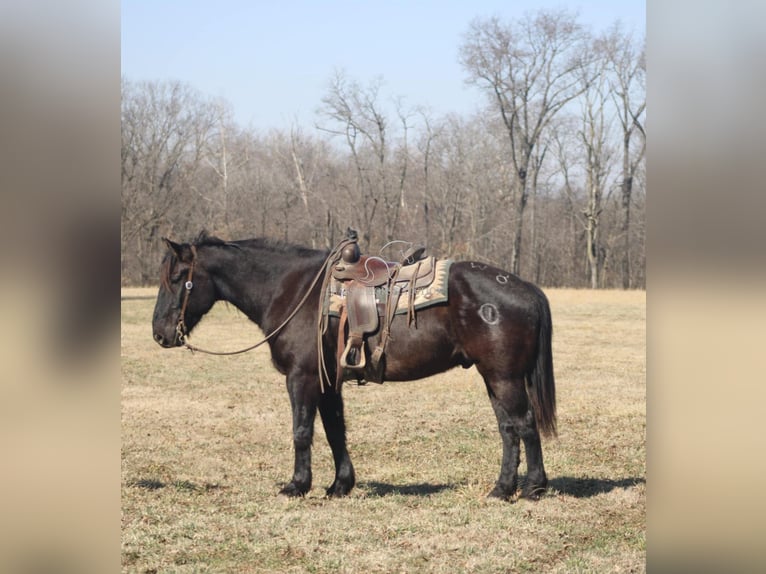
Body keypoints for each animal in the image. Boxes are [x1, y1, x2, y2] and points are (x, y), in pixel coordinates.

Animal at [152, 232, 560, 502]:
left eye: (178, 278)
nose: (159, 334)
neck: (292, 291)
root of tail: (526, 288)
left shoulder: (302, 379)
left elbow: (302, 431)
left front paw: (297, 485)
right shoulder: (329, 382)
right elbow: (336, 432)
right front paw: (339, 485)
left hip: (504, 378)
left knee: (524, 425)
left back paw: (533, 488)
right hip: (493, 378)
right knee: (508, 429)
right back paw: (501, 489)